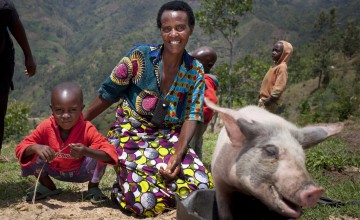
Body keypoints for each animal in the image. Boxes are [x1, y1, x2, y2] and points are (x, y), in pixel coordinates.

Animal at [205, 99, 344, 219]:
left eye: (303, 156)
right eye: (270, 151)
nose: (316, 190)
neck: (243, 188)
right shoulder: (219, 180)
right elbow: (224, 211)